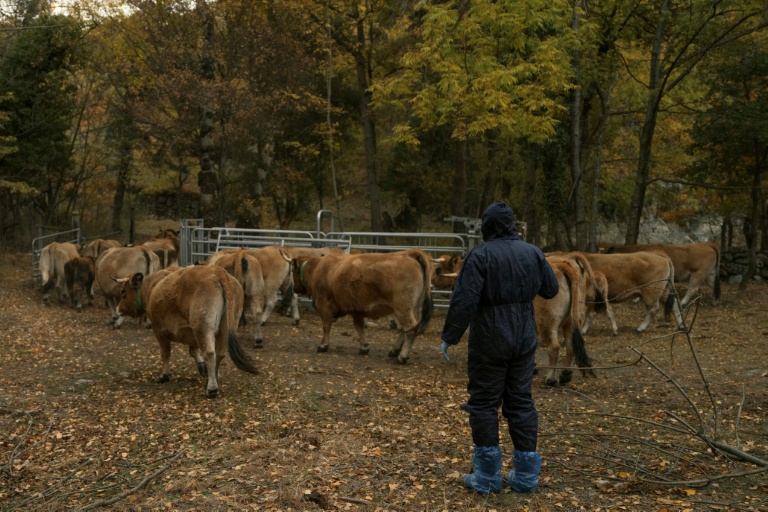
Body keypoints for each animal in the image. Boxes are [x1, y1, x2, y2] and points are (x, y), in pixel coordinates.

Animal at [115, 265, 259, 398]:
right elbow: (193, 351)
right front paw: (202, 367)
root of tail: (217, 270)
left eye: (123, 291)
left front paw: (164, 375)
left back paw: (212, 388)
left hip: (203, 327)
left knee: (210, 353)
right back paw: (214, 378)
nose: (118, 309)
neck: (152, 286)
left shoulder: (158, 330)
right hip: (224, 327)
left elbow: (166, 353)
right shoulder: (192, 333)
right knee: (220, 353)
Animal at [285, 248, 434, 364]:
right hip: (413, 309)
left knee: (409, 330)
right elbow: (359, 327)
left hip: (403, 308)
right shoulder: (356, 309)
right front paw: (364, 347)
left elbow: (326, 326)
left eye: (292, 270)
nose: (294, 288)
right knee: (409, 329)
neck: (318, 268)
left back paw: (402, 356)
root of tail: (408, 253)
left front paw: (323, 345)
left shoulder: (324, 306)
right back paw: (394, 350)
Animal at [534, 257, 596, 386]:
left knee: (554, 347)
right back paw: (565, 374)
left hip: (546, 323)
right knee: (570, 345)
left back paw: (550, 378)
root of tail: (560, 263)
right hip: (573, 320)